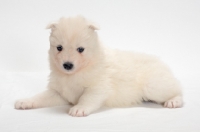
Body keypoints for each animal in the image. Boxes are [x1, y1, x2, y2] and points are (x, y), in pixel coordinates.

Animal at [15, 15, 183, 116]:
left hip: (154, 86)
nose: (67, 65)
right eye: (59, 48)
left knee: (177, 90)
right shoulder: (59, 93)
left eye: (80, 49)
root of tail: (162, 64)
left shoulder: (99, 87)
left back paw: (174, 101)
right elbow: (40, 97)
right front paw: (25, 101)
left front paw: (79, 109)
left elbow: (88, 98)